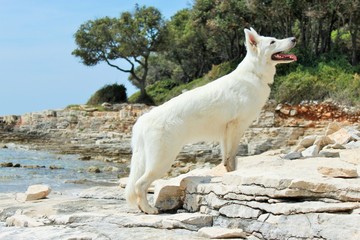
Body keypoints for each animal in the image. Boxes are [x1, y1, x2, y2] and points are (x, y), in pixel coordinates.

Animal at [125, 28, 296, 214]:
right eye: (273, 42)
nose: (294, 38)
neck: (254, 74)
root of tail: (143, 120)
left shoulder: (226, 134)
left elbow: (227, 159)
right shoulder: (236, 127)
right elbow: (231, 157)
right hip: (162, 161)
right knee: (139, 184)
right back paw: (148, 209)